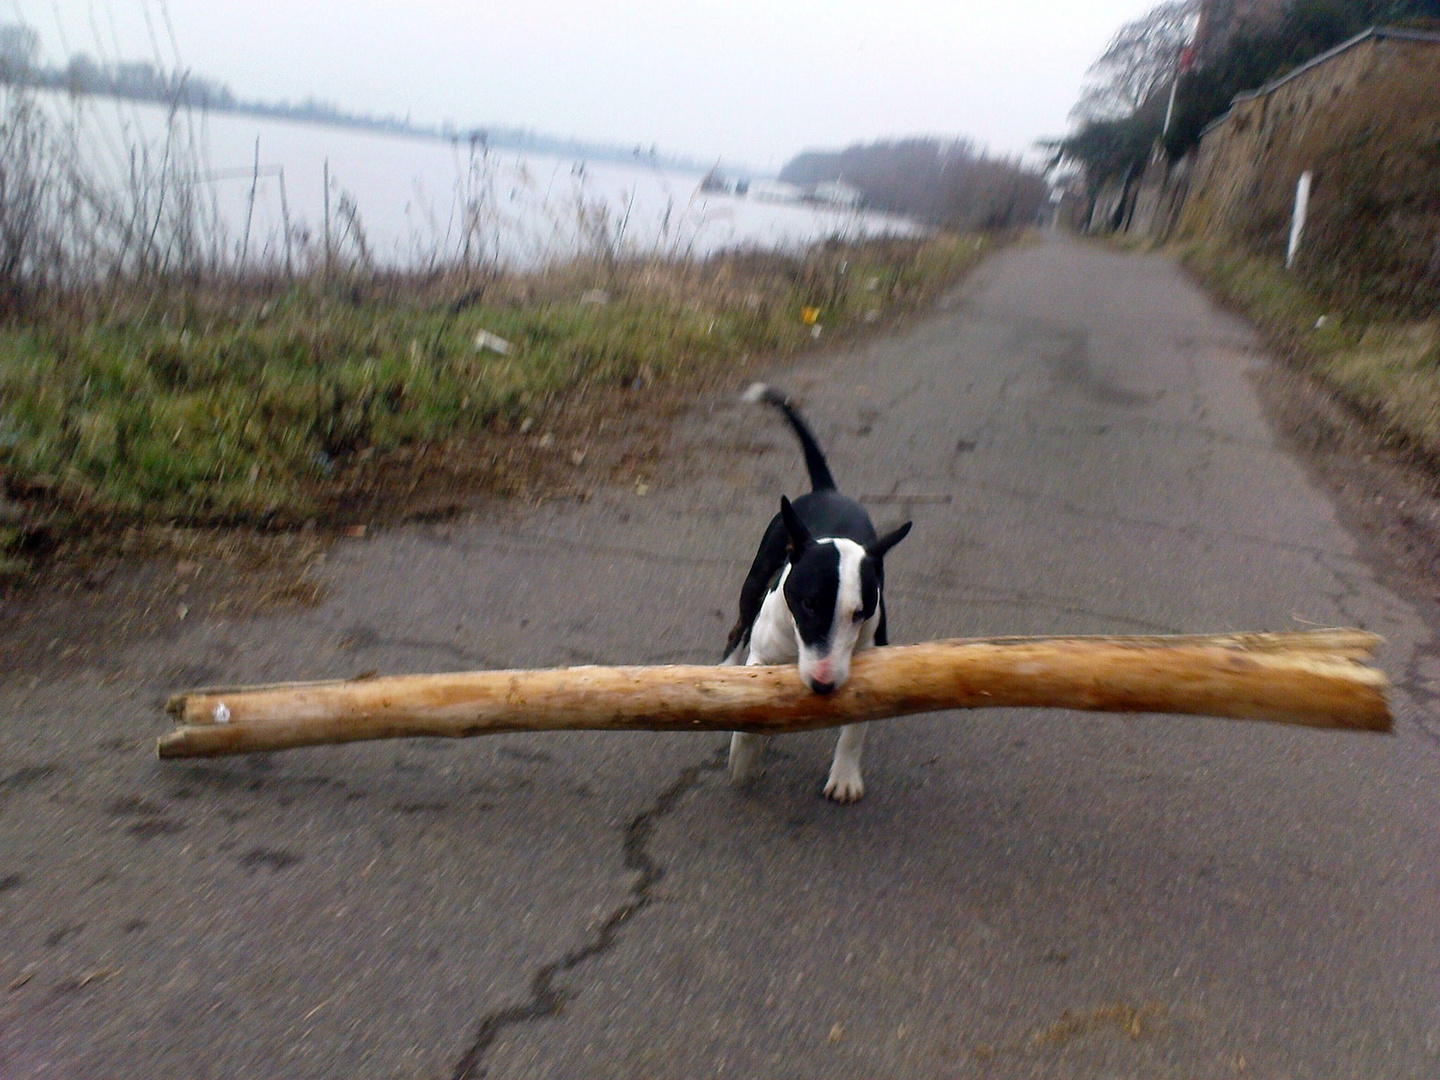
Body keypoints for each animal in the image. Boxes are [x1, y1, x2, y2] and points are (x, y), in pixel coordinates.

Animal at [720, 383, 910, 806]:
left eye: (861, 613)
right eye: (808, 604)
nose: (824, 686)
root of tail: (827, 490)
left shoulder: (871, 670)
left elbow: (856, 729)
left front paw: (845, 777)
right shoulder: (763, 655)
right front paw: (743, 758)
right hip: (757, 574)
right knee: (736, 630)